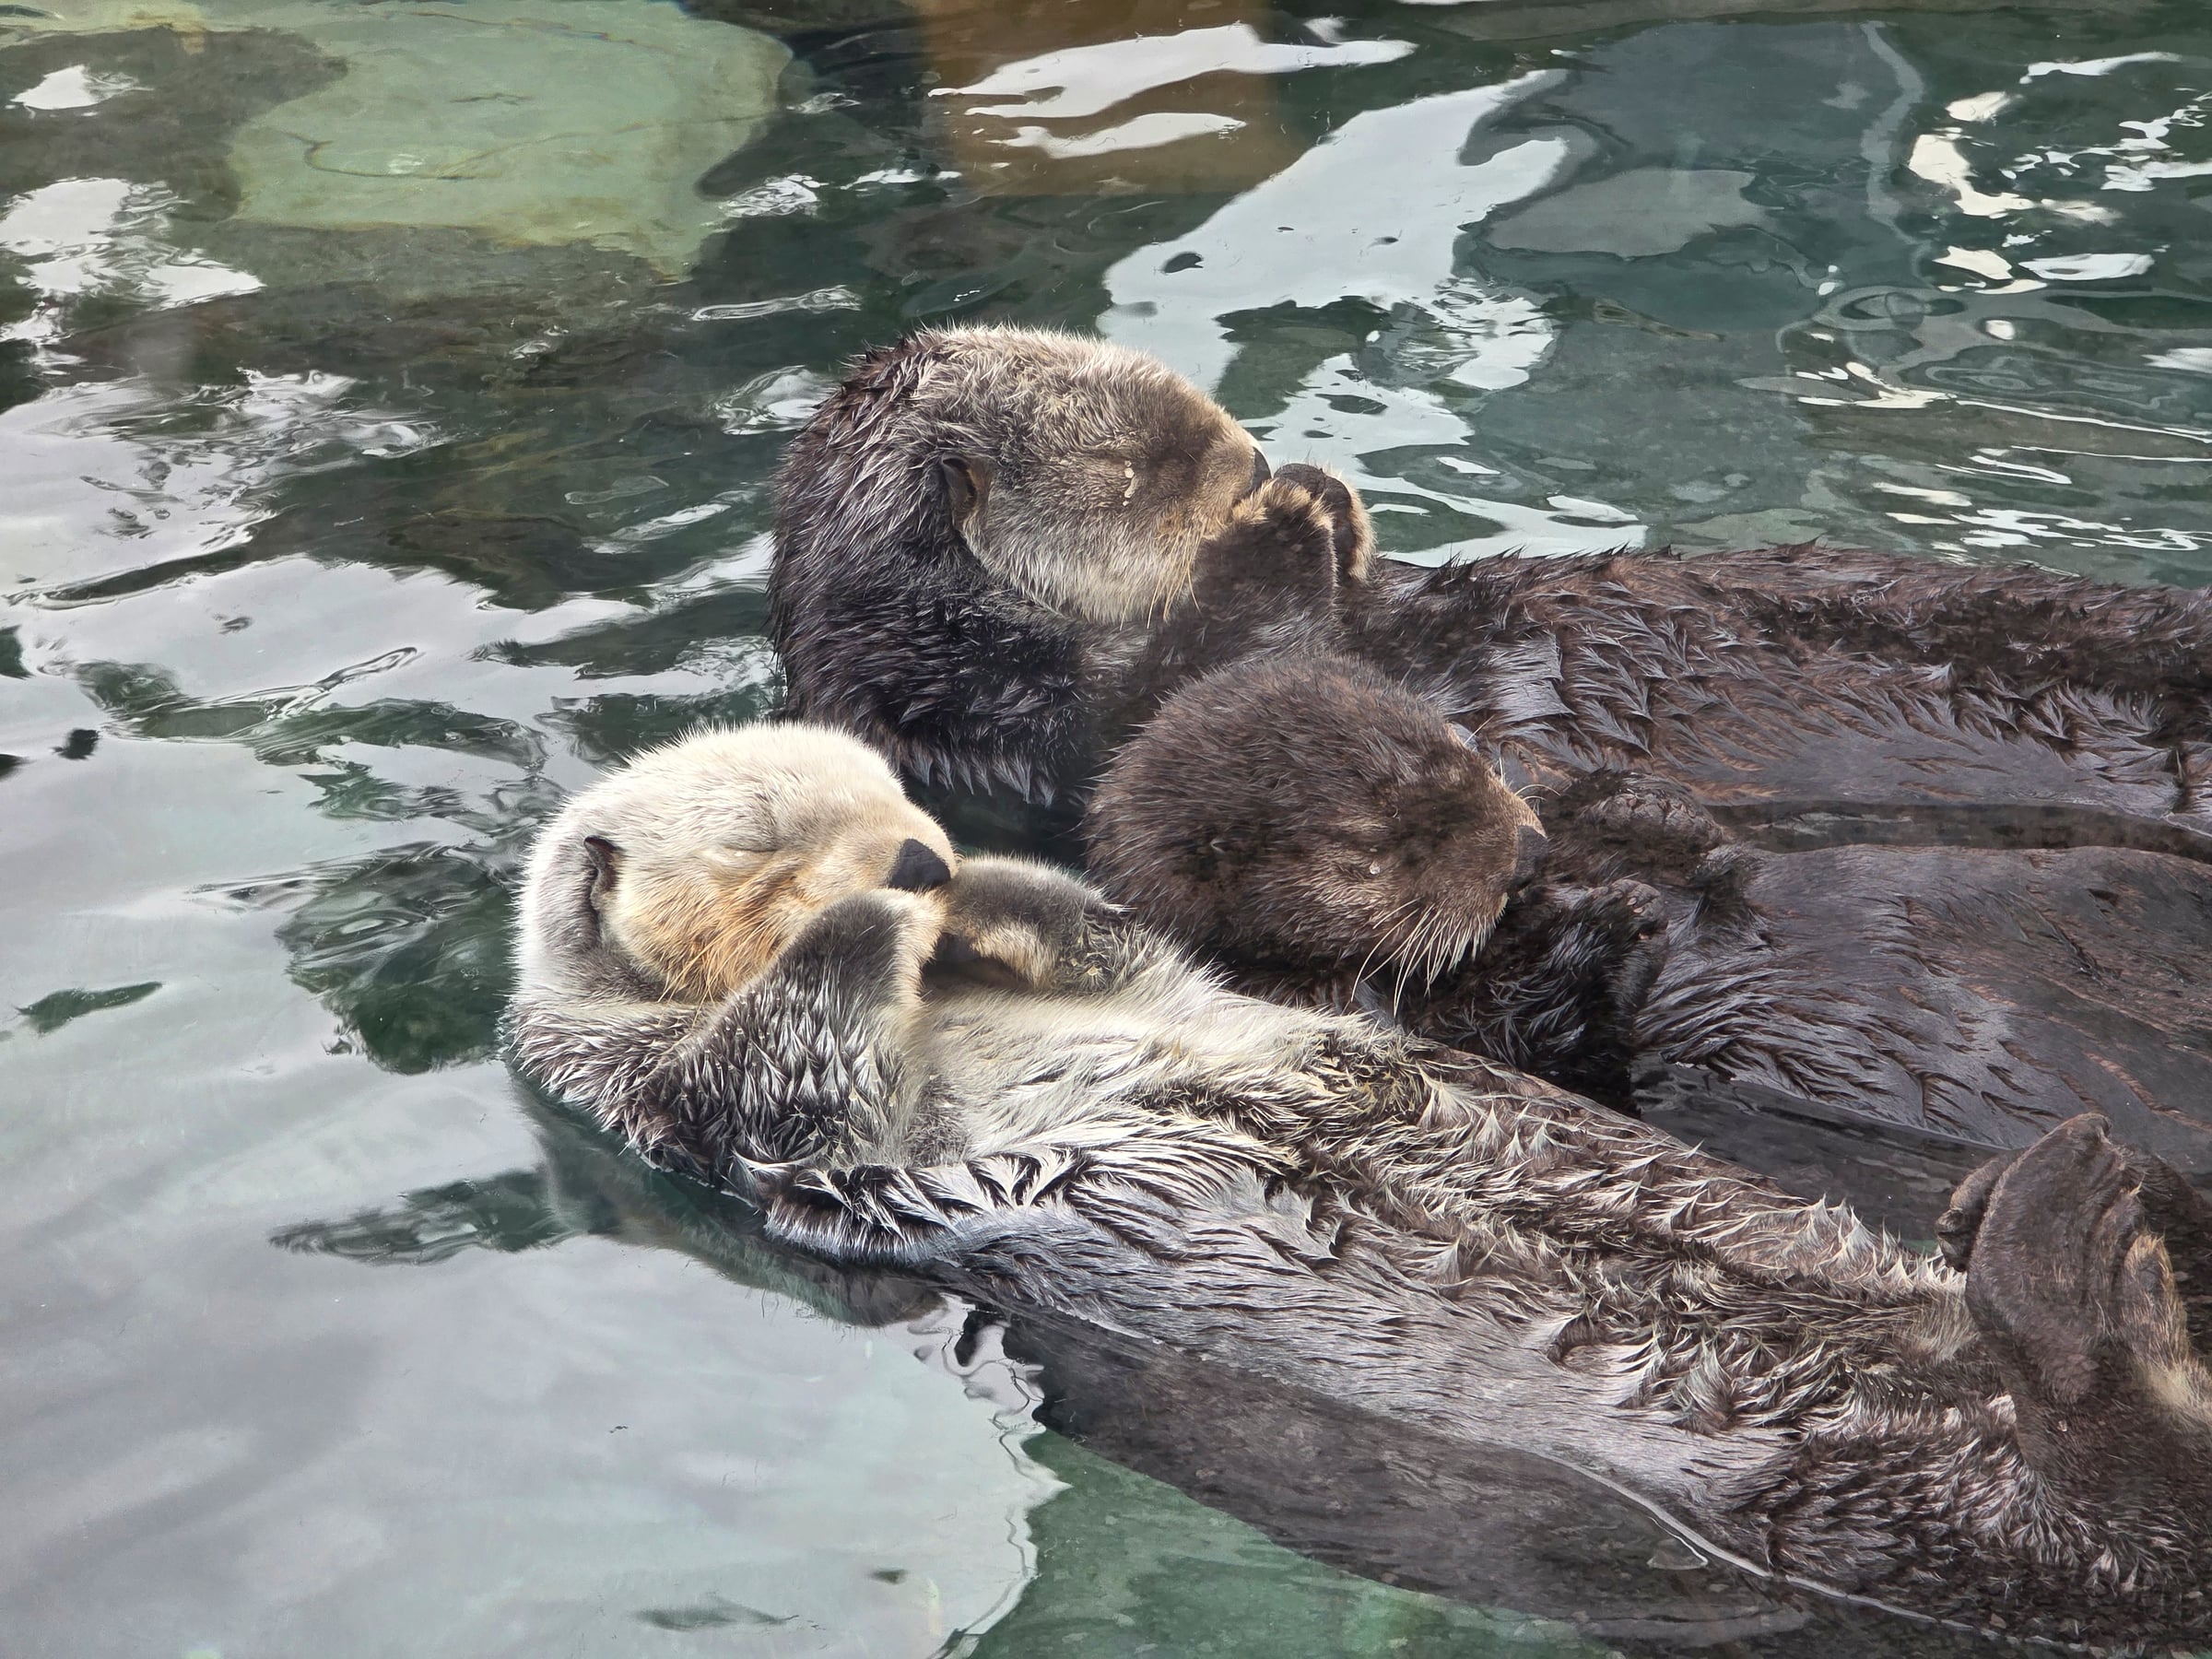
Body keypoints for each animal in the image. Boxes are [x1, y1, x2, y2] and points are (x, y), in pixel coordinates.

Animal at [506, 720, 2212, 1646]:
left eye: (894, 796)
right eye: (764, 839)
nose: (916, 858)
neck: (945, 1002)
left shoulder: (1154, 976)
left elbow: (1112, 941)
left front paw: (985, 885)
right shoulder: (646, 1091)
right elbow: (781, 1070)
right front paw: (857, 926)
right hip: (1863, 1506)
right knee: (2096, 1509)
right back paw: (2075, 1267)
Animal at [768, 325, 2212, 859]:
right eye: (1146, 464)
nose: (1253, 459)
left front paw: (1332, 506)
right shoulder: (990, 729)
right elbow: (1170, 715)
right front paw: (1286, 526)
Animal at [1089, 654, 2212, 1185]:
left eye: (1460, 742)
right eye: (1377, 855)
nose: (1524, 855)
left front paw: (1642, 811)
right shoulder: (1386, 1010)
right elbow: (1558, 1030)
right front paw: (1617, 921)